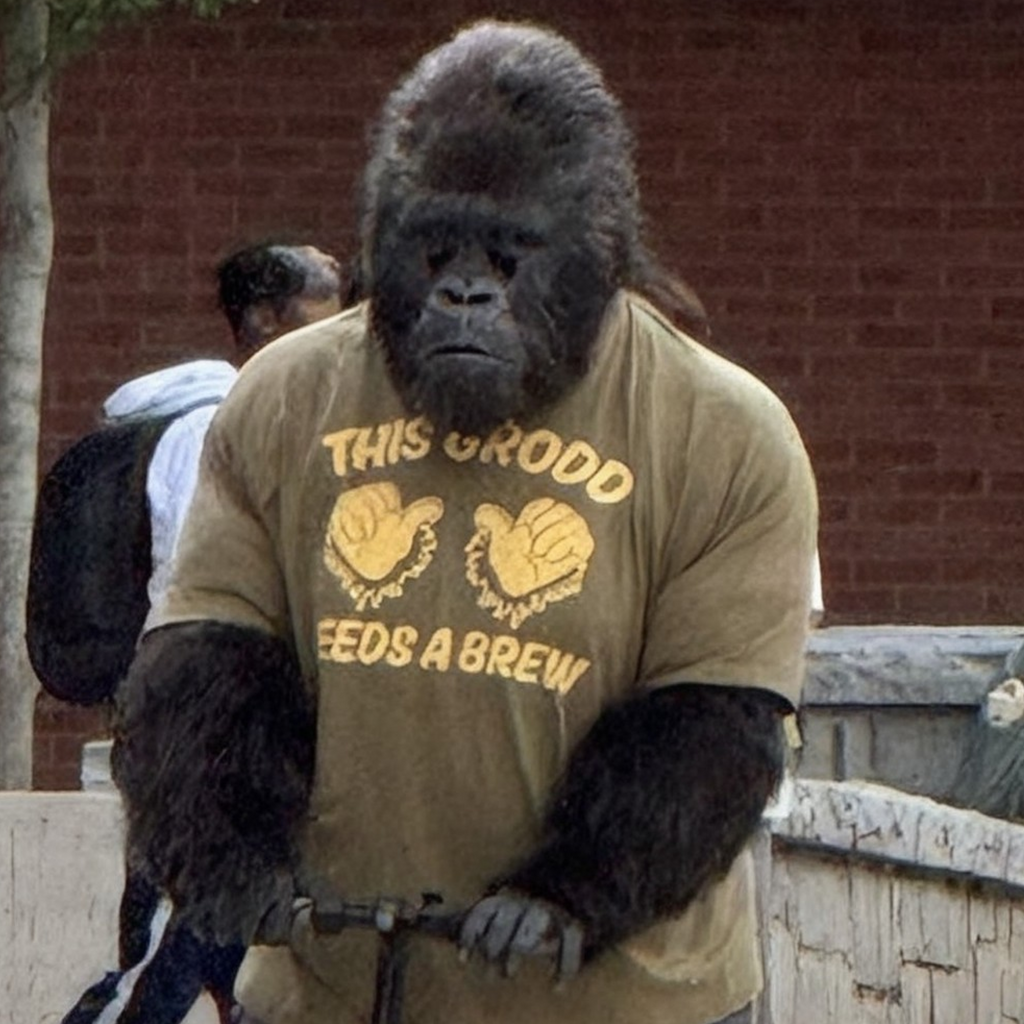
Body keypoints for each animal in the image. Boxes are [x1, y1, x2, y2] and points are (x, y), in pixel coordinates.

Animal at [114, 20, 817, 1024]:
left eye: (510, 251)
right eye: (440, 250)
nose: (465, 298)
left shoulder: (755, 457)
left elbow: (706, 706)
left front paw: (549, 904)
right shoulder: (246, 422)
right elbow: (217, 648)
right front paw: (235, 877)